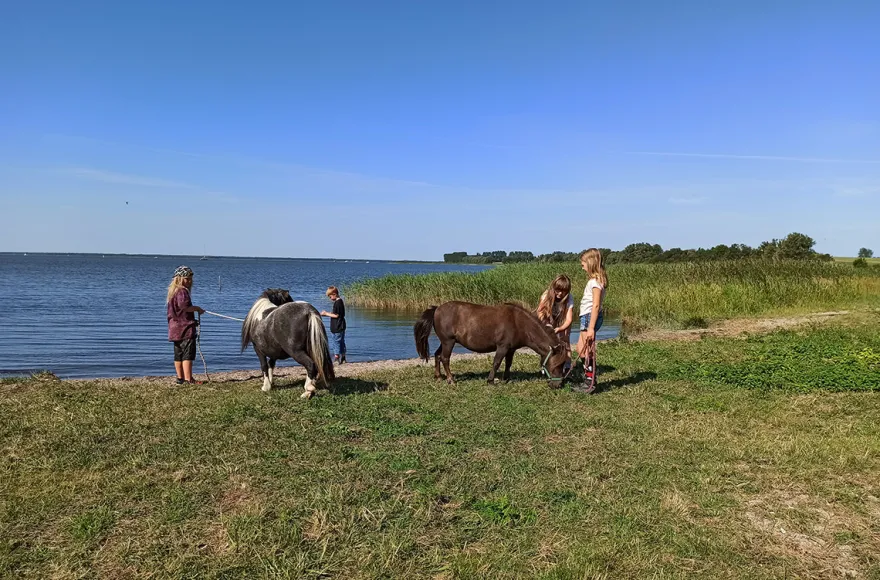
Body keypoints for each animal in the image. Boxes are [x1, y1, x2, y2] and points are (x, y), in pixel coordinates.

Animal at [413, 301, 570, 386]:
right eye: (557, 365)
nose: (558, 384)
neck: (519, 323)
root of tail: (437, 309)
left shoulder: (511, 349)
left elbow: (508, 363)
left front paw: (506, 379)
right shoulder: (502, 347)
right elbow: (496, 362)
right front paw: (491, 380)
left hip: (445, 342)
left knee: (437, 355)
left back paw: (439, 377)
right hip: (448, 342)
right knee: (445, 358)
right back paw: (451, 380)